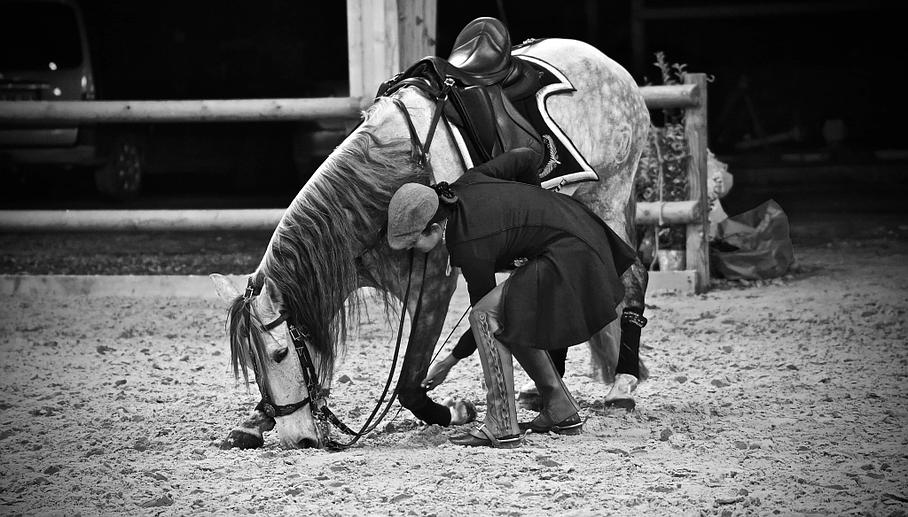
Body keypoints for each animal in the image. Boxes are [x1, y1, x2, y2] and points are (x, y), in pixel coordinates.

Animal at [210, 34, 650, 449]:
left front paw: (453, 411)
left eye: (280, 353)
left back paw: (623, 385)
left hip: (608, 197)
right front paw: (251, 423)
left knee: (633, 279)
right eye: (252, 362)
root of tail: (608, 64)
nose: (298, 440)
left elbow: (409, 383)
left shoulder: (434, 285)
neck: (389, 180)